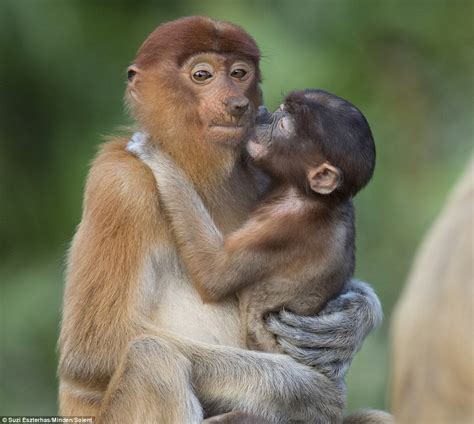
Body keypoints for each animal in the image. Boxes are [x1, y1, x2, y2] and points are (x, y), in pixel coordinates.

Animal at [128, 88, 376, 352]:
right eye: (281, 109)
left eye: (284, 126)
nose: (262, 113)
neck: (316, 198)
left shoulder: (285, 224)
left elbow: (216, 274)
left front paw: (156, 154)